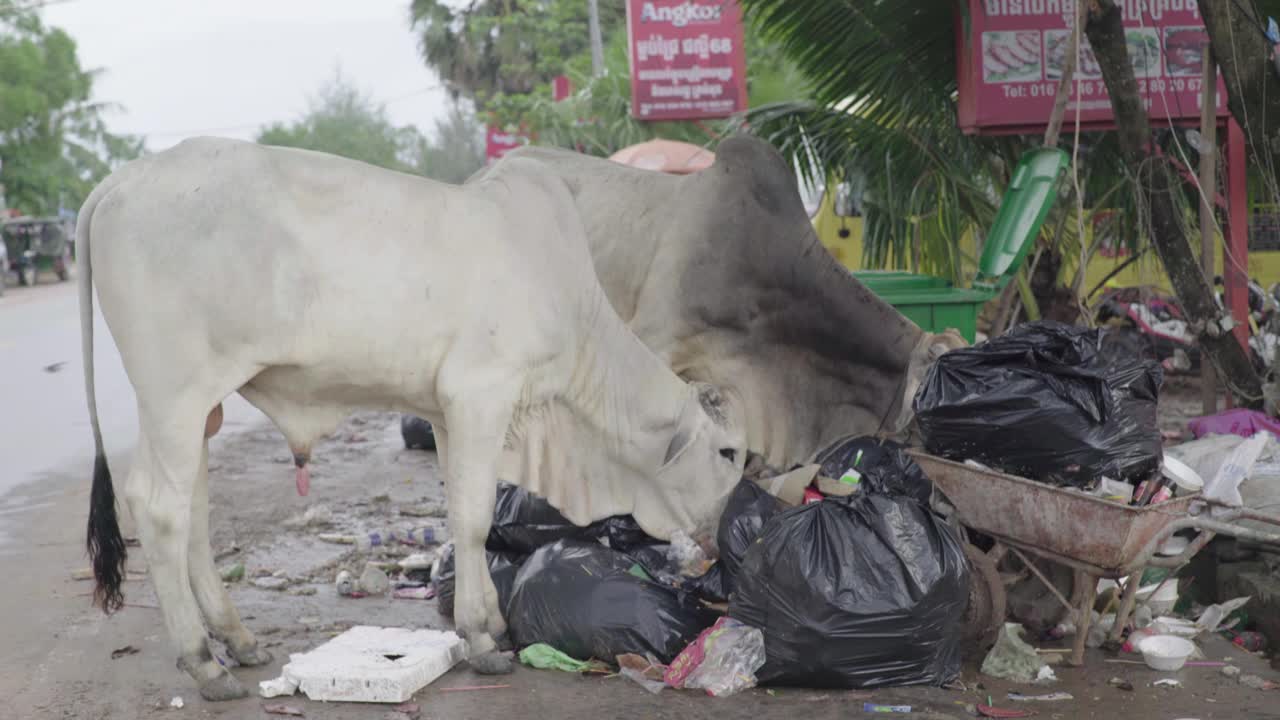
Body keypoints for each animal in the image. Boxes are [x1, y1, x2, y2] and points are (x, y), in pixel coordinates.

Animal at [80, 137, 747, 696]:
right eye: (729, 452)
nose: (725, 532)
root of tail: (117, 182)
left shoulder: (449, 413)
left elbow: (459, 515)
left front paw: (486, 623)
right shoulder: (481, 393)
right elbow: (474, 522)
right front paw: (482, 640)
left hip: (199, 408)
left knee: (190, 510)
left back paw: (238, 640)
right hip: (175, 393)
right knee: (159, 509)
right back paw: (203, 663)